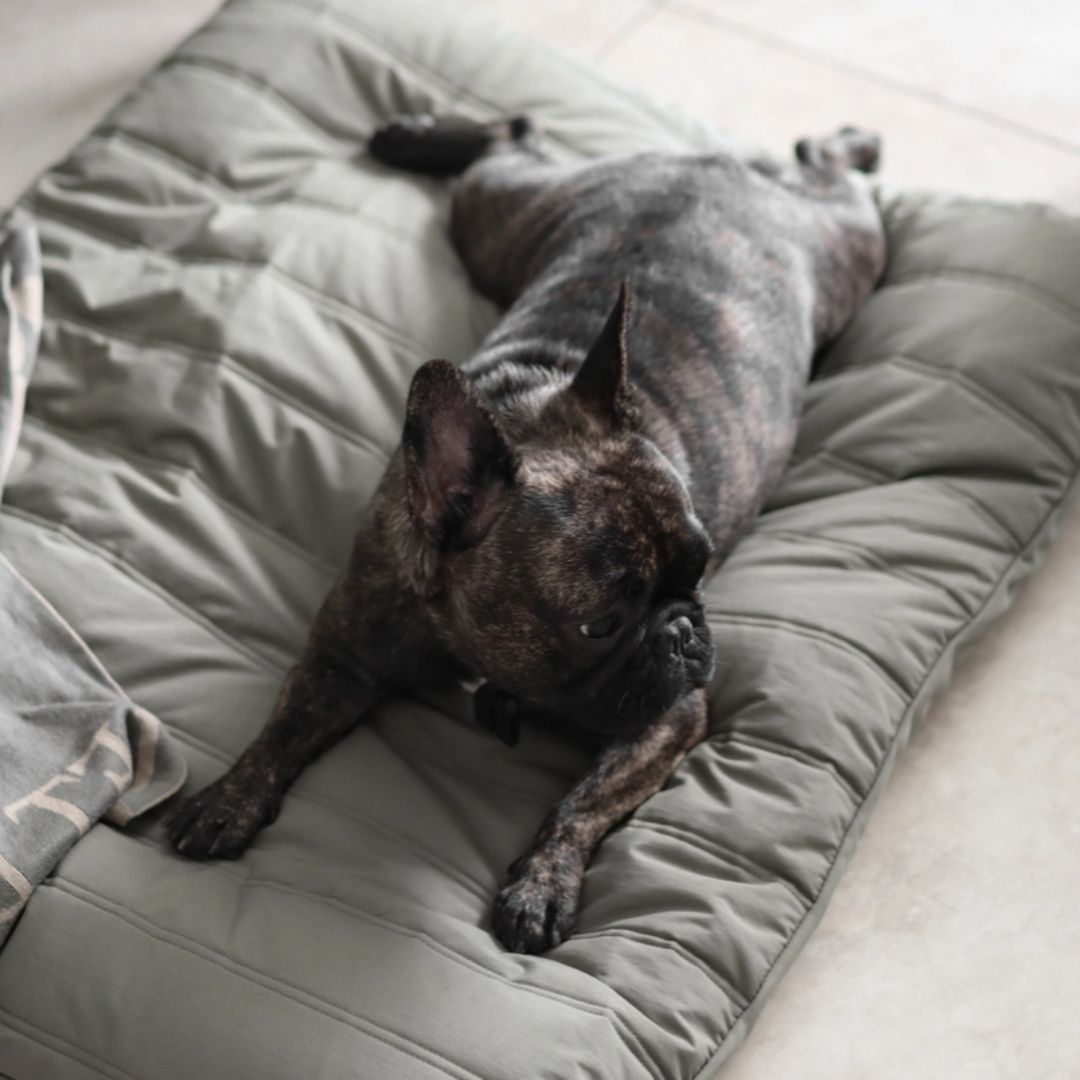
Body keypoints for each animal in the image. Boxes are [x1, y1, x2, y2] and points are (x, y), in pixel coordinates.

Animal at [164, 116, 881, 954]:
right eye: (600, 624)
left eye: (700, 571)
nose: (683, 631)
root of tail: (712, 158)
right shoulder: (342, 656)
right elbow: (283, 727)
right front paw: (229, 798)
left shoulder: (671, 716)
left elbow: (582, 802)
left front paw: (542, 884)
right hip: (501, 218)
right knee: (512, 136)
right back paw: (410, 135)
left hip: (846, 246)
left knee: (821, 164)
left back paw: (854, 139)